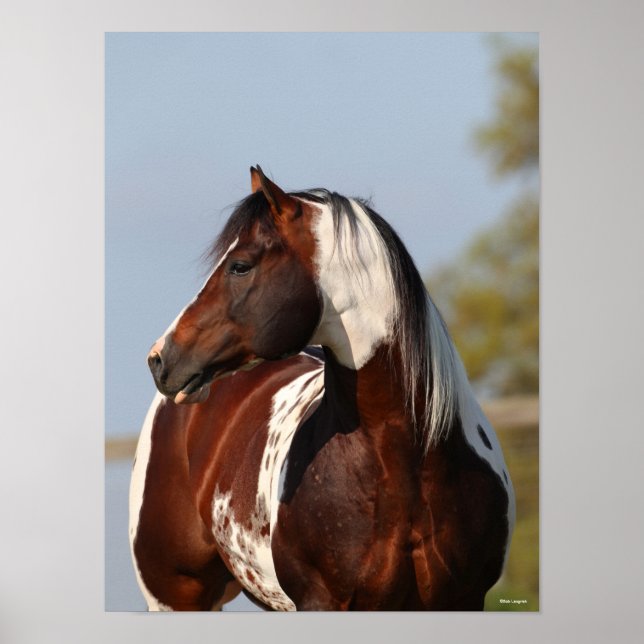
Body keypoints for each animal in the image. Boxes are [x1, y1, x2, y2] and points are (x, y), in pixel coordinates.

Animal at [129, 166, 515, 611]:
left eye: (240, 266)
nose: (160, 358)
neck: (406, 464)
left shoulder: (463, 598)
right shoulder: (323, 600)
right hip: (175, 598)